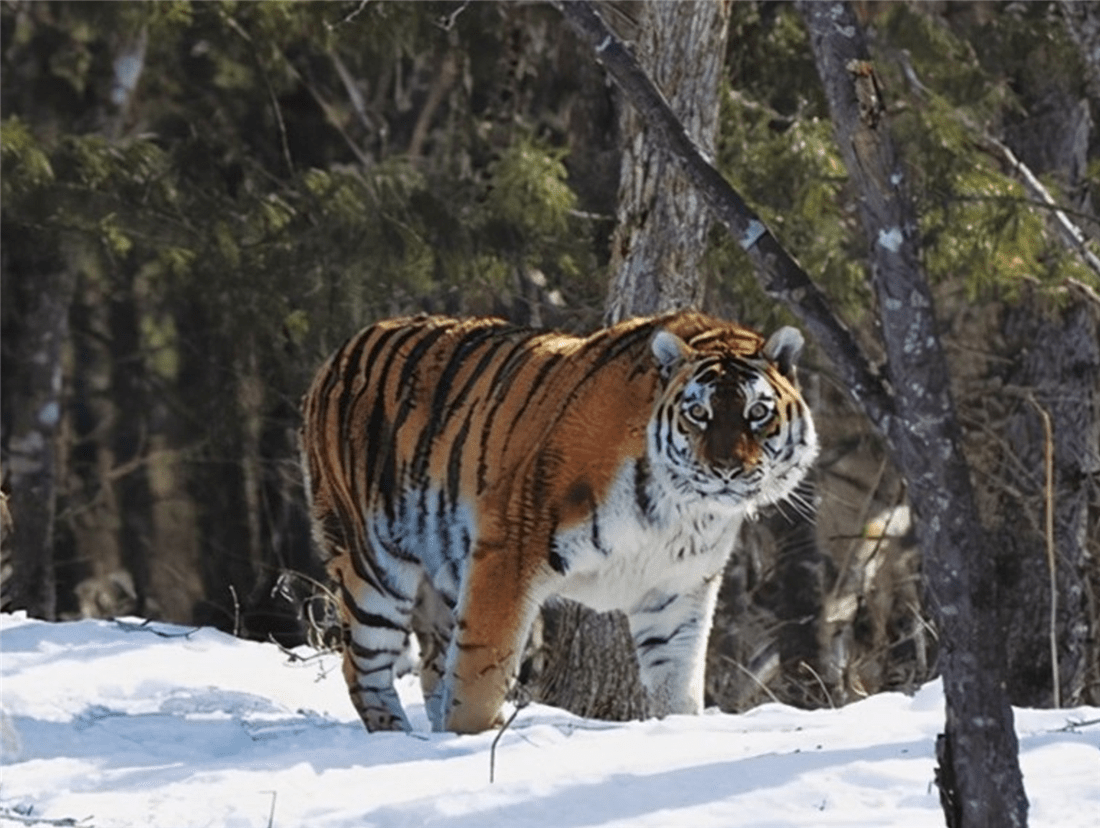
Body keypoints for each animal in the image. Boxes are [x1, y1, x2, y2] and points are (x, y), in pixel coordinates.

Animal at [299, 310, 818, 730]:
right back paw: (399, 739)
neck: (683, 510)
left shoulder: (678, 588)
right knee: (362, 665)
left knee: (430, 664)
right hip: (373, 562)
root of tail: (339, 352)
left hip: (443, 570)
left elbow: (678, 684)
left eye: (757, 412)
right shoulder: (508, 551)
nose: (727, 470)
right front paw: (472, 740)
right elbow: (481, 670)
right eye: (698, 413)